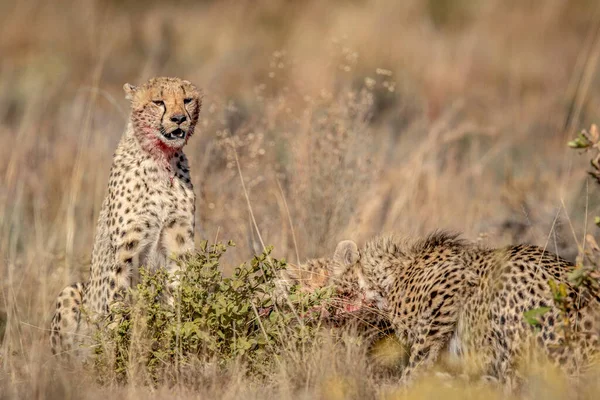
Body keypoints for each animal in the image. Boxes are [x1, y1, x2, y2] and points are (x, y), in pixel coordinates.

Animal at [50, 76, 203, 356]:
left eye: (187, 100)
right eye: (158, 102)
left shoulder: (180, 244)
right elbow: (118, 301)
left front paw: (177, 340)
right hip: (70, 293)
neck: (161, 159)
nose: (179, 119)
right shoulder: (125, 250)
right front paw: (116, 352)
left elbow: (178, 295)